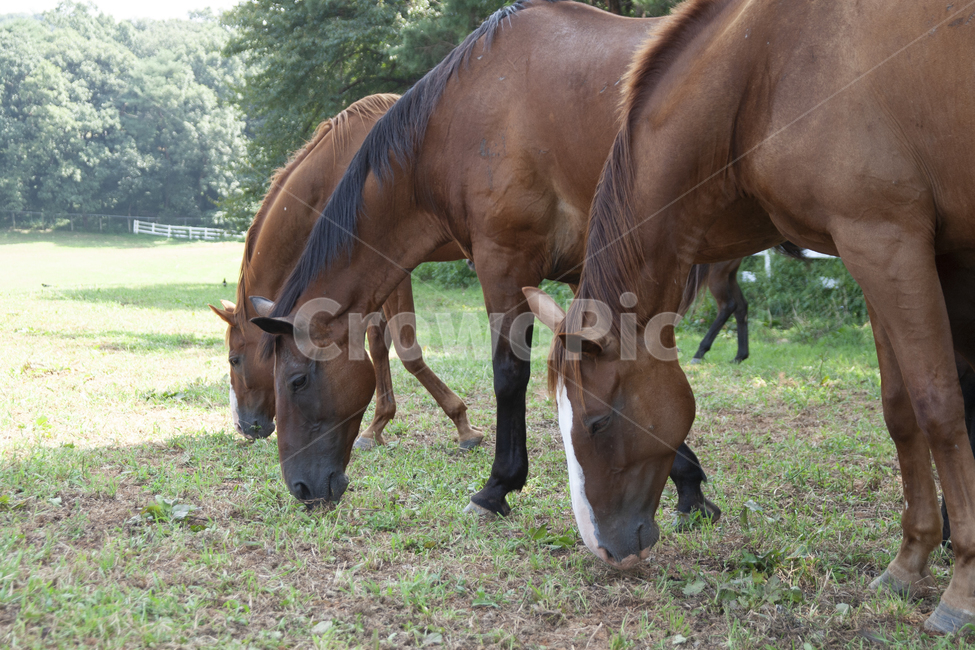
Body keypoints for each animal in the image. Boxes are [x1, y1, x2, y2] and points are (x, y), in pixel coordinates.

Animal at [209, 94, 484, 450]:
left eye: (235, 359)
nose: (242, 426)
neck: (338, 170)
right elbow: (378, 346)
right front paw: (377, 425)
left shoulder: (392, 270)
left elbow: (406, 349)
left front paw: (462, 423)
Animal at [249, 0, 719, 523]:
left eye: (296, 381)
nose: (300, 487)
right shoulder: (588, 274)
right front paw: (688, 484)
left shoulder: (504, 263)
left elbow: (508, 373)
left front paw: (497, 485)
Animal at [532, 0, 975, 633]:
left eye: (596, 423)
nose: (604, 551)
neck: (766, 66)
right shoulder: (872, 252)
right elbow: (900, 409)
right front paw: (908, 564)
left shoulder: (890, 244)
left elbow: (939, 408)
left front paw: (961, 589)